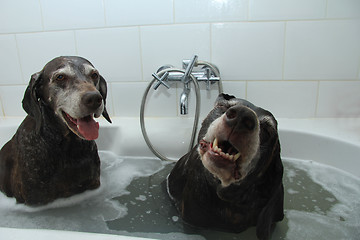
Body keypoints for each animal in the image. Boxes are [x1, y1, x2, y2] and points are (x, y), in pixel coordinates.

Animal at [0, 56, 111, 206]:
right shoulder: (35, 200)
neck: (66, 146)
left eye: (94, 75)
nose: (94, 99)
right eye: (60, 77)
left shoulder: (92, 184)